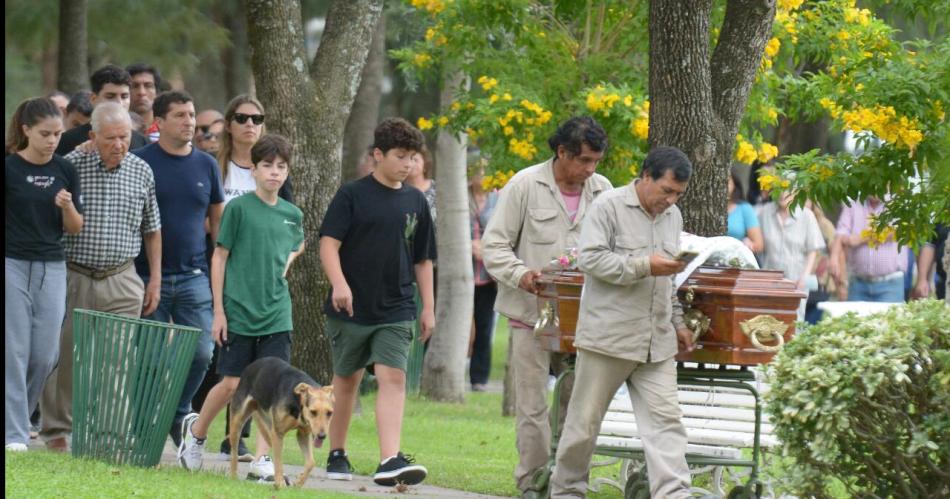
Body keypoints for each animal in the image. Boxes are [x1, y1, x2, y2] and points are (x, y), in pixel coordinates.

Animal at [228, 358, 334, 490]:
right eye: (313, 412)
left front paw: (298, 482)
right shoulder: (278, 433)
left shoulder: (303, 434)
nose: (322, 436)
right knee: (234, 452)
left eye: (329, 413)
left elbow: (311, 462)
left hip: (267, 427)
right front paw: (280, 483)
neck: (297, 403)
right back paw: (233, 475)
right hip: (237, 423)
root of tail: (253, 365)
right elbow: (278, 461)